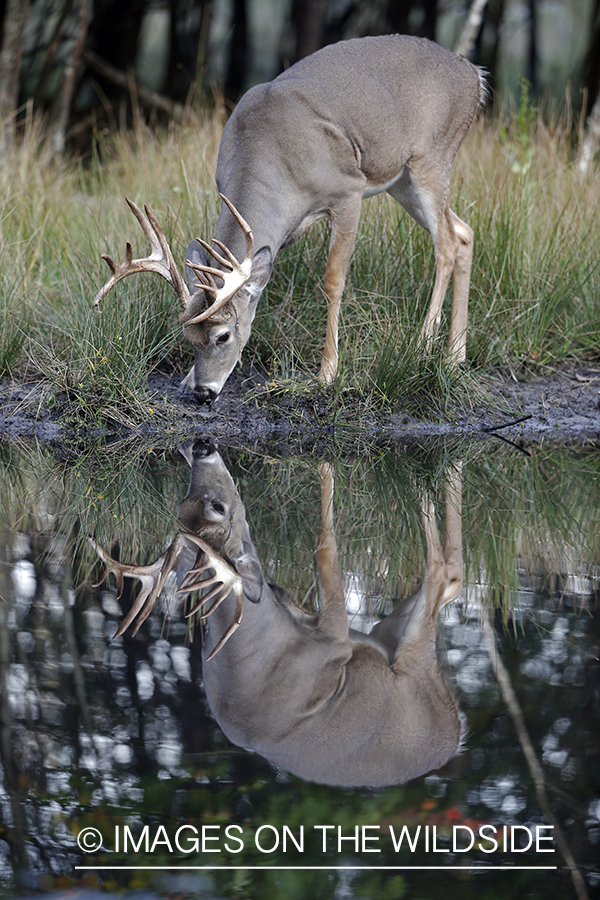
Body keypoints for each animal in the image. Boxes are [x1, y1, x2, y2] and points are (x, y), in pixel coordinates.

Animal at [91, 444, 466, 788]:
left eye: (189, 504)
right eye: (218, 507)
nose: (199, 447)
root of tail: (453, 736)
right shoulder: (333, 640)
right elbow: (324, 547)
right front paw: (326, 465)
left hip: (388, 634)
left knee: (450, 579)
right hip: (412, 667)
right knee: (444, 572)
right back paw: (431, 482)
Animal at [95, 34, 488, 400]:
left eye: (223, 336)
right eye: (188, 337)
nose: (204, 392)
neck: (273, 155)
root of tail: (473, 73)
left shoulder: (349, 190)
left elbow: (333, 280)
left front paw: (327, 372)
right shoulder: (279, 230)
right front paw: (186, 378)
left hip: (432, 156)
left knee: (446, 243)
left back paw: (424, 343)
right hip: (402, 180)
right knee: (464, 232)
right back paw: (455, 356)